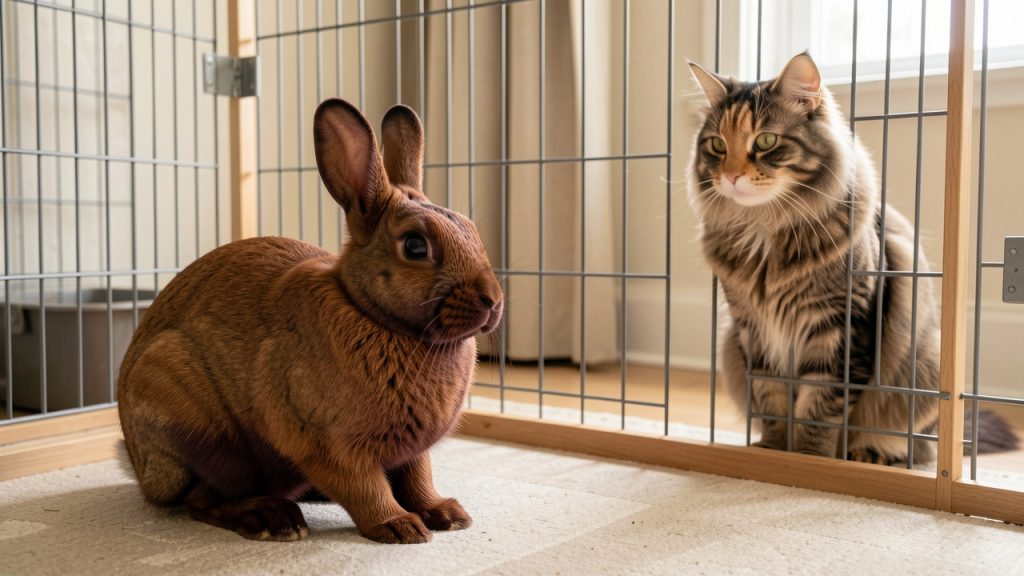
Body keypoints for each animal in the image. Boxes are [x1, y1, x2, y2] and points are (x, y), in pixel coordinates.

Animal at [117, 98, 504, 544]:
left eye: (471, 229)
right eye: (415, 245)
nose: (493, 300)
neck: (370, 313)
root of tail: (142, 472)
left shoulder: (412, 451)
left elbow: (418, 478)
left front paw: (446, 514)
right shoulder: (329, 445)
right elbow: (365, 488)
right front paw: (400, 526)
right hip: (204, 433)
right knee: (204, 500)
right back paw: (274, 520)